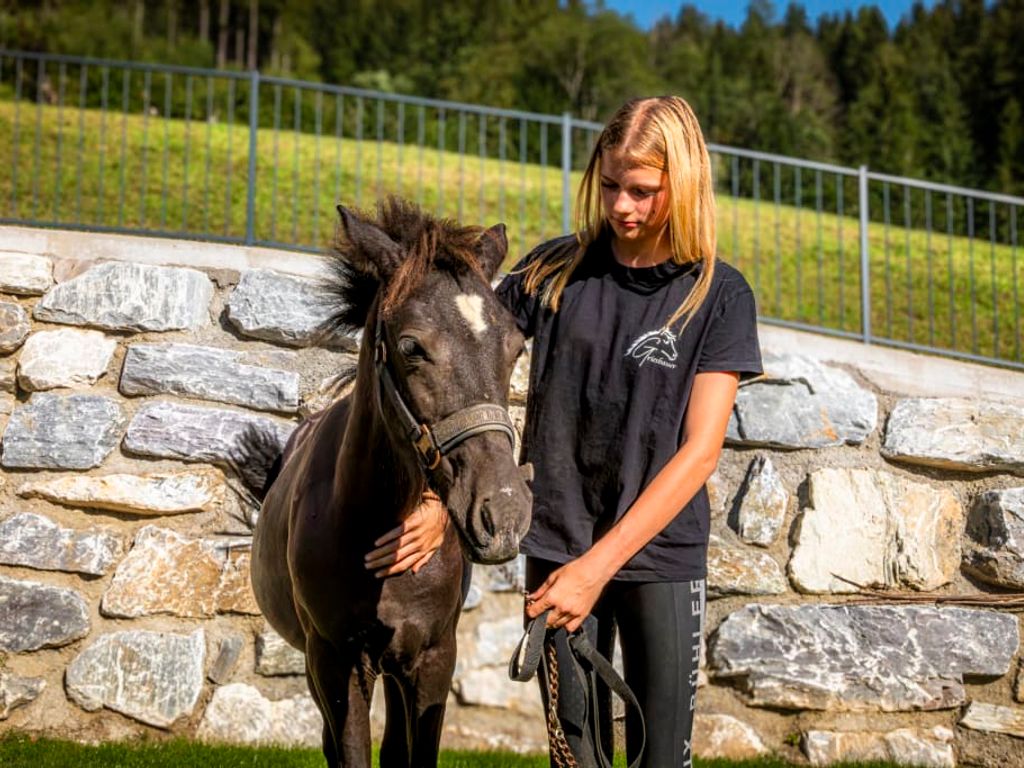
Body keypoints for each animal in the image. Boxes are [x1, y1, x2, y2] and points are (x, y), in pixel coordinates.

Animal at [248, 197, 533, 767]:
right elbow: (352, 752)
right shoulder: (335, 662)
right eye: (411, 346)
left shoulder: (432, 658)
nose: (503, 515)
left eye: (515, 346)